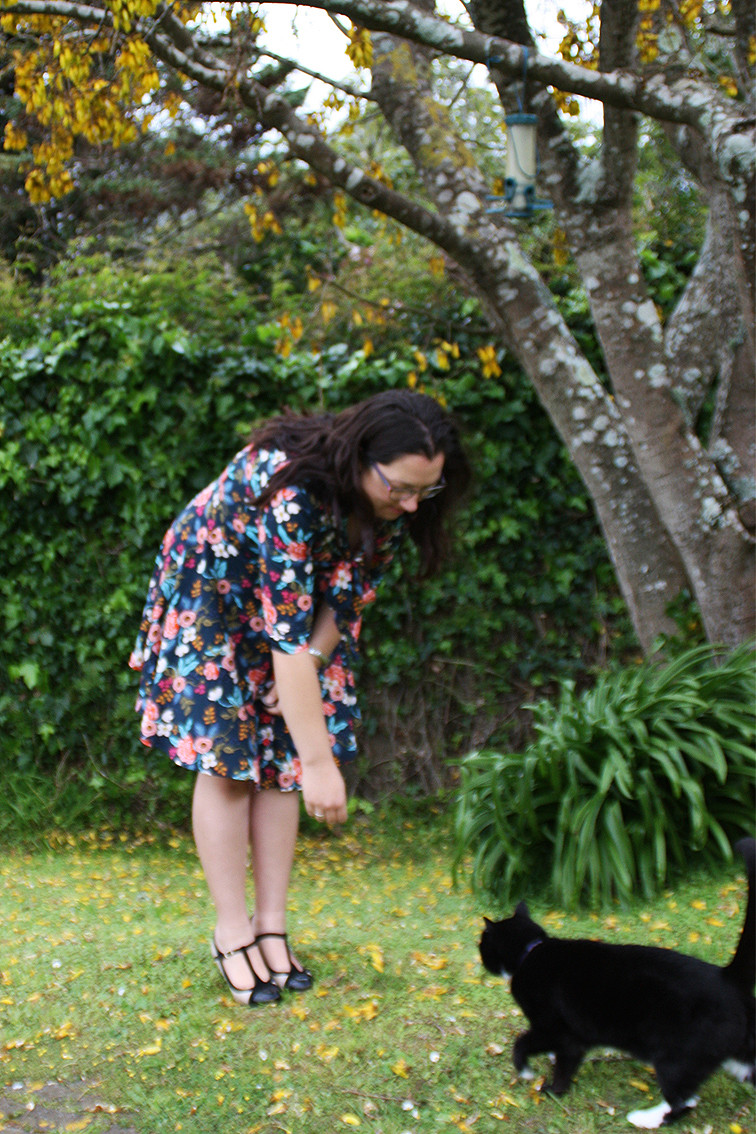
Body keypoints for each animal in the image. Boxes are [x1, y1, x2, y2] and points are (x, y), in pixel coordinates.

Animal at [482, 834, 752, 1124]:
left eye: (482, 942)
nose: (480, 953)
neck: (531, 951)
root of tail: (727, 977)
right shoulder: (573, 1038)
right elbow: (565, 1060)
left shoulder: (555, 1029)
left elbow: (527, 1045)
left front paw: (538, 1080)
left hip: (675, 1057)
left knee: (683, 1100)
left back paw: (647, 1119)